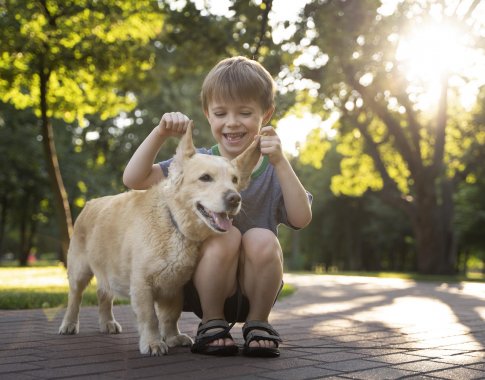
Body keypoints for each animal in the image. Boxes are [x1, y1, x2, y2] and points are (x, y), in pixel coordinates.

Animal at [58, 124, 260, 356]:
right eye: (205, 178)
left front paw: (173, 338)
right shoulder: (142, 284)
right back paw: (69, 324)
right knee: (74, 298)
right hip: (79, 271)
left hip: (109, 272)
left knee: (103, 294)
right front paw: (153, 342)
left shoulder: (174, 286)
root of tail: (90, 203)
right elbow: (150, 318)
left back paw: (107, 322)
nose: (235, 198)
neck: (174, 222)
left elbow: (170, 316)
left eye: (235, 180)